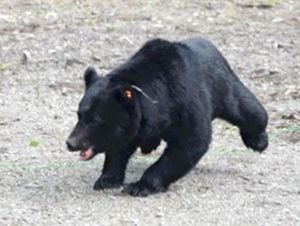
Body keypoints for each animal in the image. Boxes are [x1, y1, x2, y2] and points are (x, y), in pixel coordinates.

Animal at [67, 37, 268, 196]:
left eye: (96, 120)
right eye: (79, 115)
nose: (71, 143)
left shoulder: (185, 101)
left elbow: (189, 143)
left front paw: (140, 186)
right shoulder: (135, 123)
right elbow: (119, 147)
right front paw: (106, 179)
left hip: (222, 88)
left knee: (249, 111)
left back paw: (258, 141)